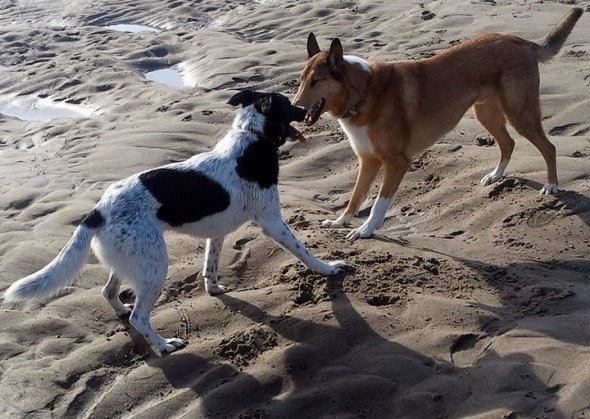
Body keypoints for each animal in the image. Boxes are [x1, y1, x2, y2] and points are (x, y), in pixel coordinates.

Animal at [4, 91, 346, 354]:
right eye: (288, 105)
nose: (306, 111)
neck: (252, 138)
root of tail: (98, 211)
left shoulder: (217, 232)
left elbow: (210, 267)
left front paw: (214, 289)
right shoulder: (272, 222)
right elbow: (305, 253)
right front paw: (329, 268)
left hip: (133, 259)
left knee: (109, 292)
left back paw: (123, 312)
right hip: (155, 266)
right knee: (140, 317)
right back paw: (164, 345)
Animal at [298, 7, 584, 240]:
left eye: (316, 81)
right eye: (301, 80)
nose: (297, 109)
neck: (364, 93)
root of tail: (520, 40)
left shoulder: (397, 162)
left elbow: (379, 203)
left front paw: (365, 230)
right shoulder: (368, 161)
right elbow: (355, 197)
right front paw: (340, 222)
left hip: (519, 112)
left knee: (548, 147)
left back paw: (552, 186)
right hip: (487, 113)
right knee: (508, 143)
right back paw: (496, 175)